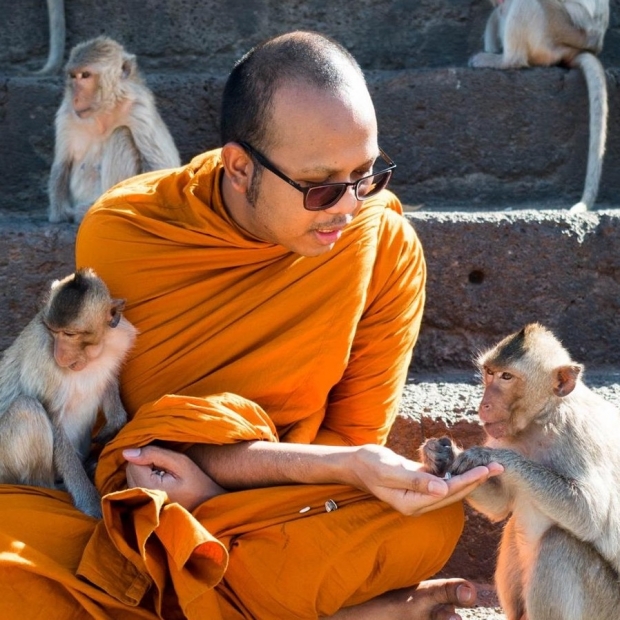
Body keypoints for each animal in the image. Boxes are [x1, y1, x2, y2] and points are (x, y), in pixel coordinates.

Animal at [0, 268, 137, 516]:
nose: (60, 355)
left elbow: (109, 380)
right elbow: (54, 421)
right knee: (27, 408)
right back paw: (50, 487)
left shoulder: (120, 337)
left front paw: (115, 423)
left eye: (70, 334)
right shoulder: (44, 359)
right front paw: (91, 503)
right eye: (54, 332)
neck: (92, 354)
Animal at [48, 35, 180, 224]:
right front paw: (60, 215)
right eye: (73, 76)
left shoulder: (140, 110)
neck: (104, 110)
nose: (76, 98)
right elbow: (61, 164)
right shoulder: (66, 114)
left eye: (85, 75)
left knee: (121, 133)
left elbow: (161, 168)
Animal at [418, 324, 620, 620]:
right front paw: (441, 455)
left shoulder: (581, 435)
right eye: (489, 372)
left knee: (560, 544)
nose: (484, 404)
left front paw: (492, 456)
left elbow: (590, 514)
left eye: (507, 377)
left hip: (607, 605)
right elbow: (500, 505)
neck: (540, 420)